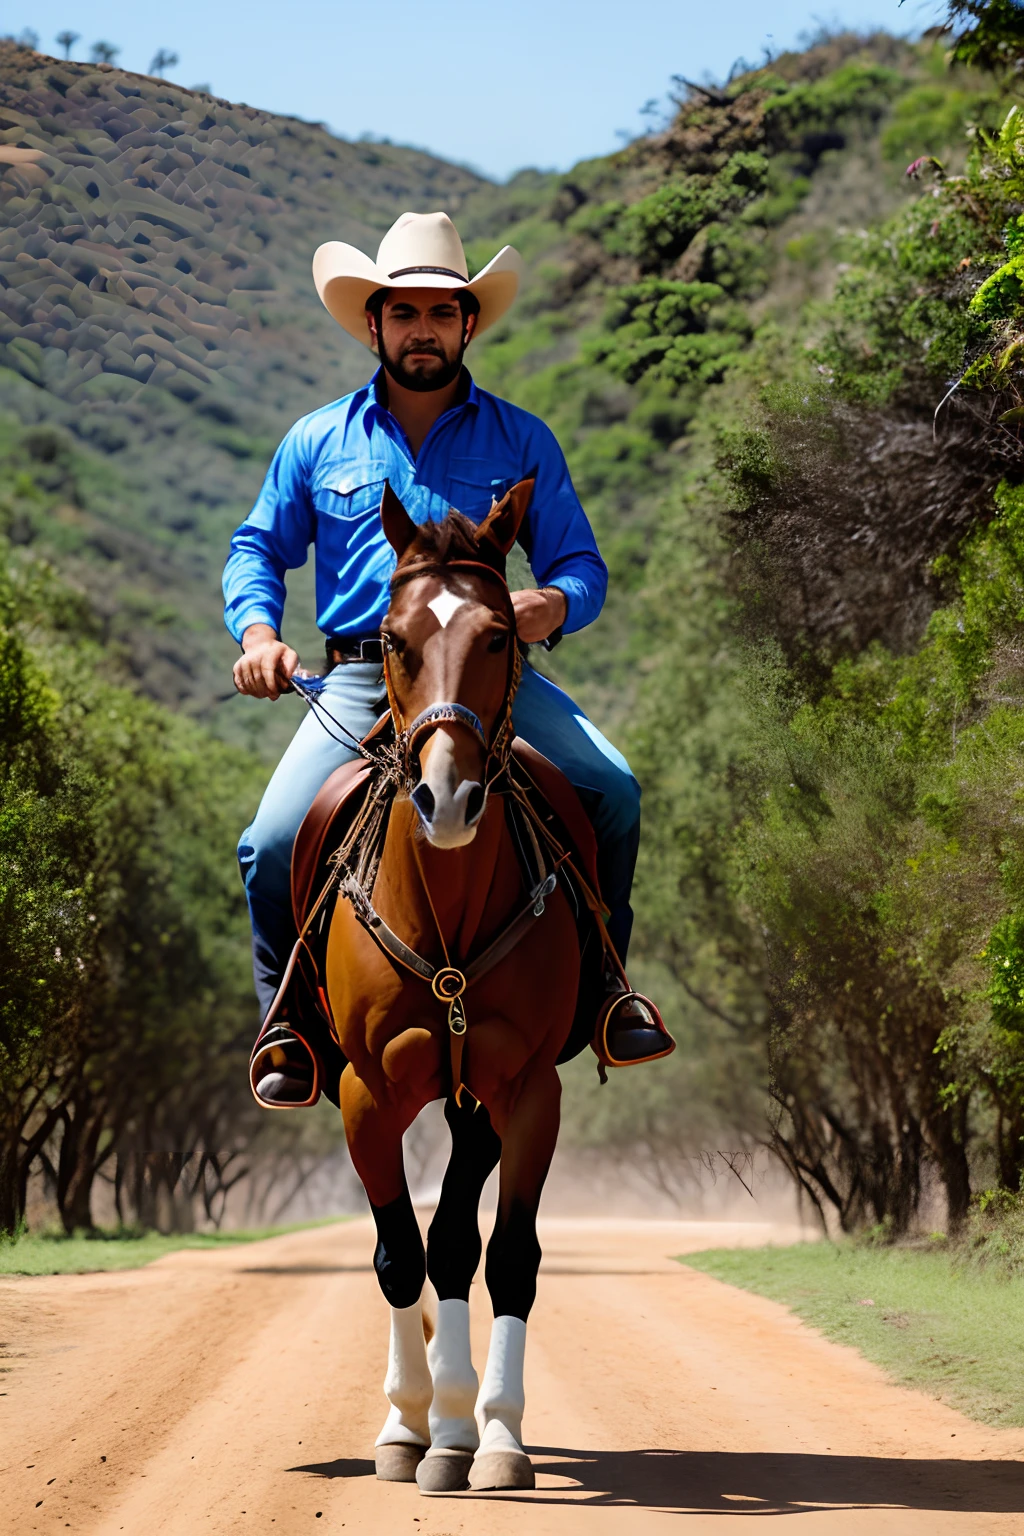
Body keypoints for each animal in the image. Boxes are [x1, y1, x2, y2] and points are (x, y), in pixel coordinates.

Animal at [328, 479, 583, 1486]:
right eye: (392, 640)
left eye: (502, 635)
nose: (447, 800)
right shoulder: (366, 1092)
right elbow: (397, 1254)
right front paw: (406, 1426)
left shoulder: (530, 1090)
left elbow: (503, 1255)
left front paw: (497, 1434)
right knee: (427, 1250)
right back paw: (432, 1417)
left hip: (475, 1099)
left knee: (458, 1243)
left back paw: (461, 1419)